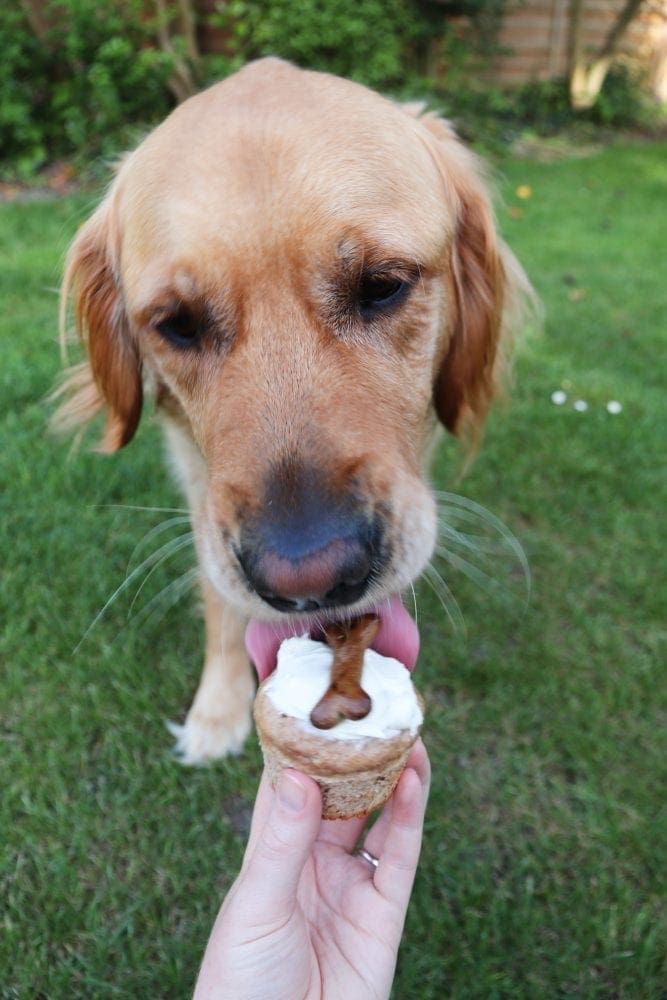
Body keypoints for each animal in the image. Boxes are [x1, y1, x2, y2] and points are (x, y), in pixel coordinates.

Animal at [55, 58, 532, 763]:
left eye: (383, 285)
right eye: (177, 324)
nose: (309, 582)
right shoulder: (198, 487)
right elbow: (222, 607)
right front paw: (216, 712)